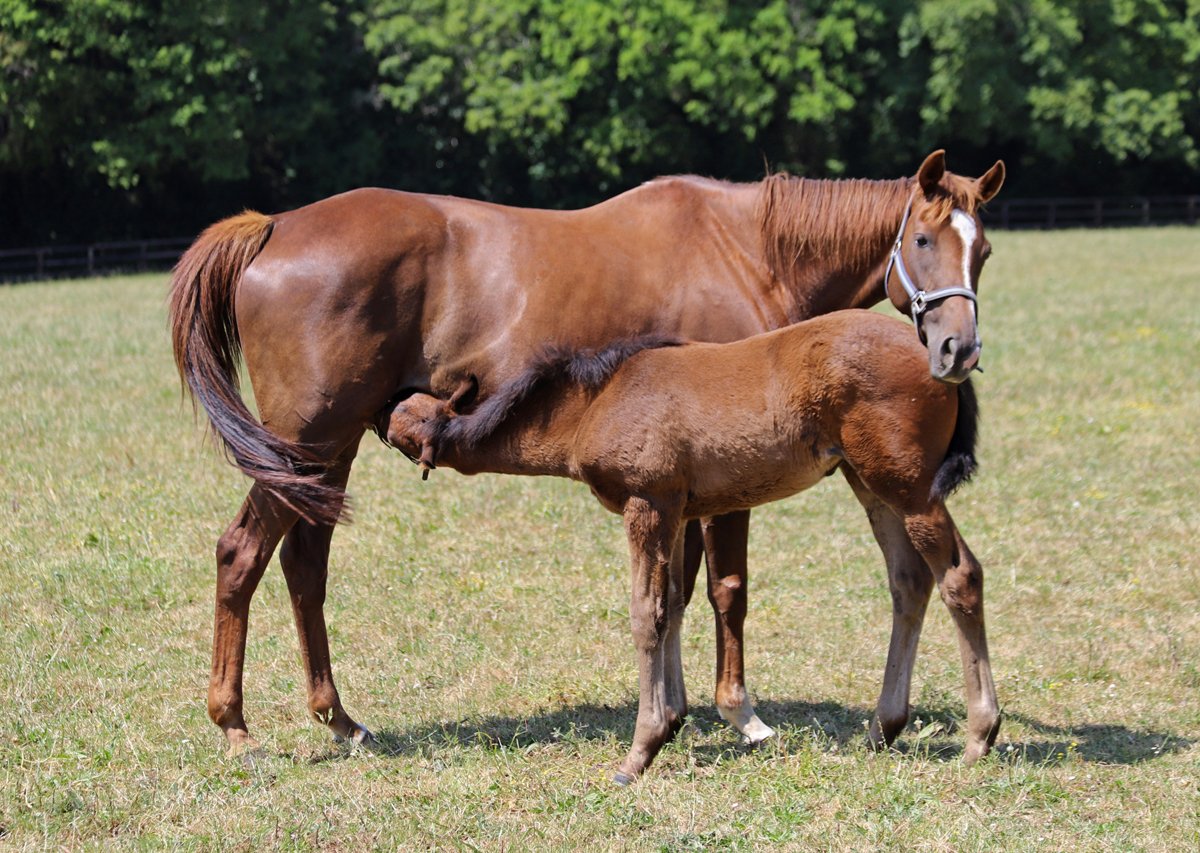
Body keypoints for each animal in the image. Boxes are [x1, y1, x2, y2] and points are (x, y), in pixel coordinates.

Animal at [377, 309, 997, 782]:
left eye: (406, 417)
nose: (375, 414)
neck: (597, 401)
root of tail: (936, 359)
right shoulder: (677, 510)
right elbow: (673, 605)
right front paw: (673, 719)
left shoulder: (647, 504)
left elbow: (645, 614)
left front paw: (640, 751)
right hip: (870, 485)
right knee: (909, 583)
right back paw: (881, 729)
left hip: (908, 488)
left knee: (960, 576)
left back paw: (979, 735)